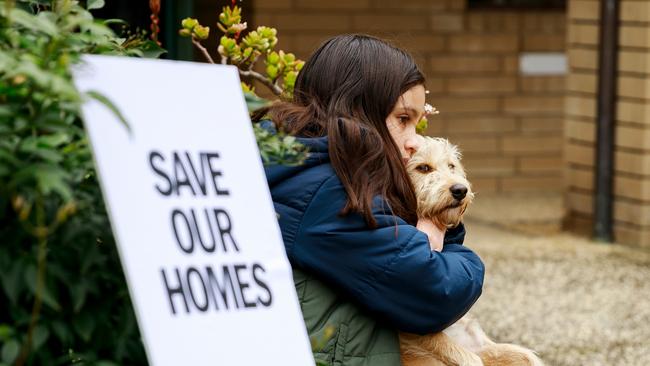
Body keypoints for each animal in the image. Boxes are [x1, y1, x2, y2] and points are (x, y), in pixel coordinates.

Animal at [400, 137, 540, 366]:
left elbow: (527, 356)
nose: (460, 190)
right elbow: (467, 358)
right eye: (423, 168)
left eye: (451, 166)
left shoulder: (479, 343)